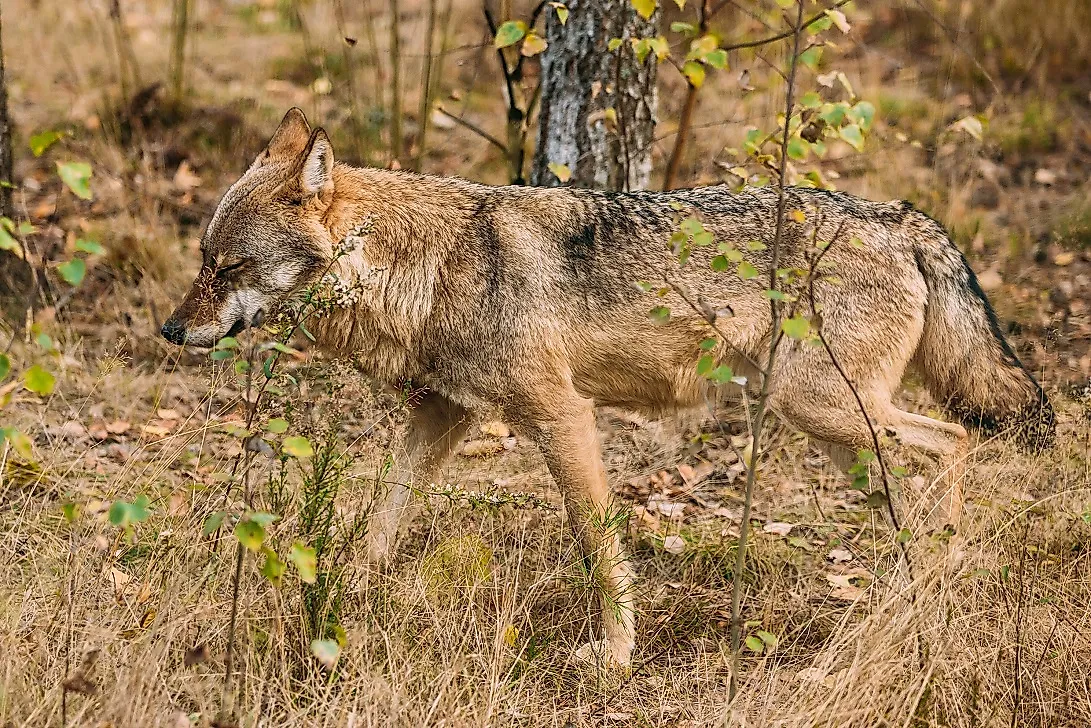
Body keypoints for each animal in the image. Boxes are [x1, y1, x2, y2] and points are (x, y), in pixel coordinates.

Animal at [163, 106, 1056, 667]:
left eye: (228, 268)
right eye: (201, 261)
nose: (171, 332)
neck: (428, 265)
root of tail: (903, 215)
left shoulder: (563, 414)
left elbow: (597, 543)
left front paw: (616, 653)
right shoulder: (442, 414)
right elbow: (383, 512)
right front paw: (340, 595)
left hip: (825, 411)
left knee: (954, 441)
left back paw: (936, 570)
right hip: (836, 434)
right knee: (922, 479)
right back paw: (911, 593)